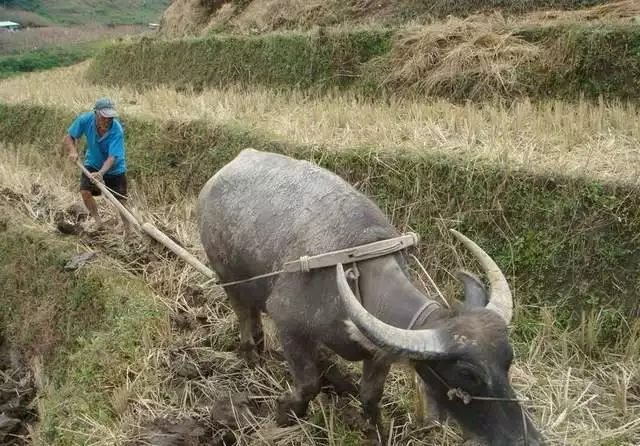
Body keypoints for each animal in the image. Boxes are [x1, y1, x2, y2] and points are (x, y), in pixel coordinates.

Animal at [196, 150, 544, 446]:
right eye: (467, 373)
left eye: (508, 360)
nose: (528, 440)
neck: (357, 277)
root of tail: (232, 164)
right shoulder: (290, 327)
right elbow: (308, 383)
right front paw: (286, 412)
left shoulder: (380, 353)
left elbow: (371, 396)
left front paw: (376, 430)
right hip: (226, 274)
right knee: (243, 311)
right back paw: (250, 352)